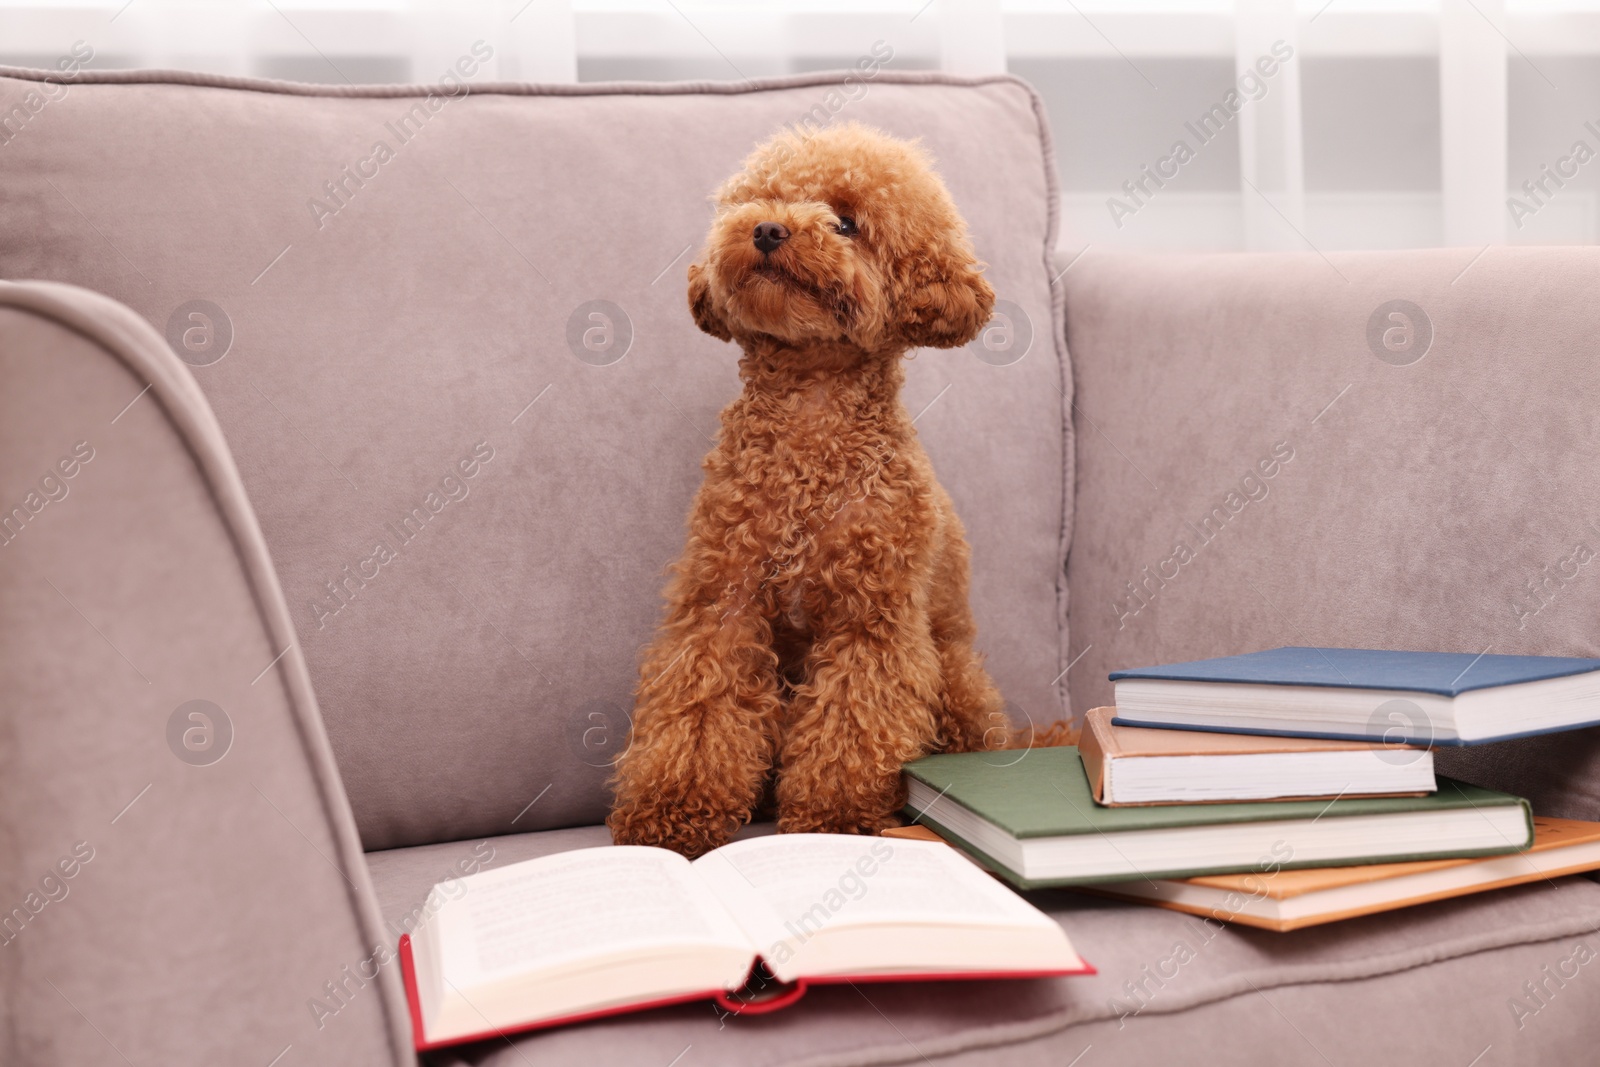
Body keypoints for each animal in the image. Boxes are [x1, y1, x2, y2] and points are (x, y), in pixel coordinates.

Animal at [611, 123, 1011, 857]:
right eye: (762, 197)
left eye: (846, 223)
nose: (768, 229)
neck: (811, 415)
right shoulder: (723, 602)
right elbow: (698, 707)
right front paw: (671, 811)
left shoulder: (872, 620)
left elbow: (853, 719)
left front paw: (832, 818)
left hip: (957, 676)